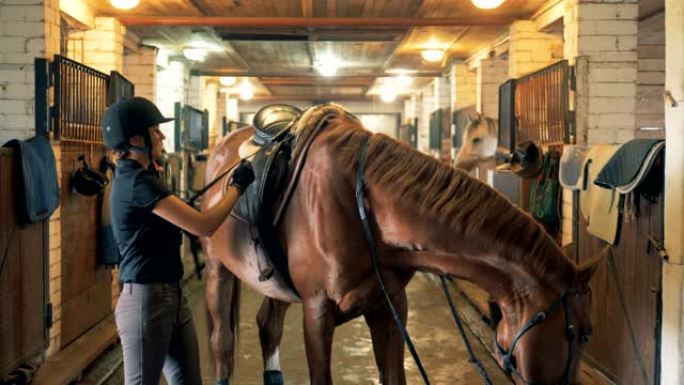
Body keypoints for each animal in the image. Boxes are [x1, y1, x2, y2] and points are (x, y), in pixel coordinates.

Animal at [200, 105, 600, 384]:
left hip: (277, 285)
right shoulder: (317, 311)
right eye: (580, 334)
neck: (360, 203)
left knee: (268, 326)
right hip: (218, 270)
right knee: (221, 343)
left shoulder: (389, 306)